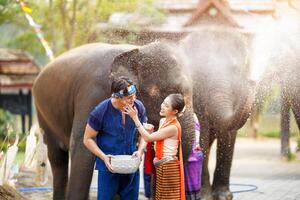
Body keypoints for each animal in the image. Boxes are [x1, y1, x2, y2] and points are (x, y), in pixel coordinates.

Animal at [32, 41, 196, 199]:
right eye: (172, 91)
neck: (138, 50)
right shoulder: (91, 94)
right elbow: (83, 145)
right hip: (43, 113)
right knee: (57, 158)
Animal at [180, 26, 255, 200]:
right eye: (200, 73)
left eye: (235, 70)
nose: (252, 81)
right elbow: (202, 133)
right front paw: (205, 197)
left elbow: (228, 135)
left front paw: (224, 196)